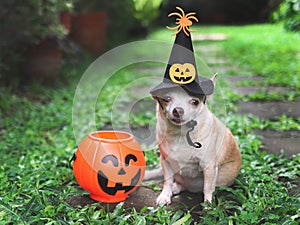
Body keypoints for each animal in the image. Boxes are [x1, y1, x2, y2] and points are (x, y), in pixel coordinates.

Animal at [144, 74, 243, 205]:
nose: (178, 110)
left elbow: (208, 187)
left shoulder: (209, 166)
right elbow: (167, 181)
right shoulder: (166, 161)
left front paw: (208, 205)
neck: (180, 135)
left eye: (195, 102)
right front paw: (164, 195)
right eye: (167, 99)